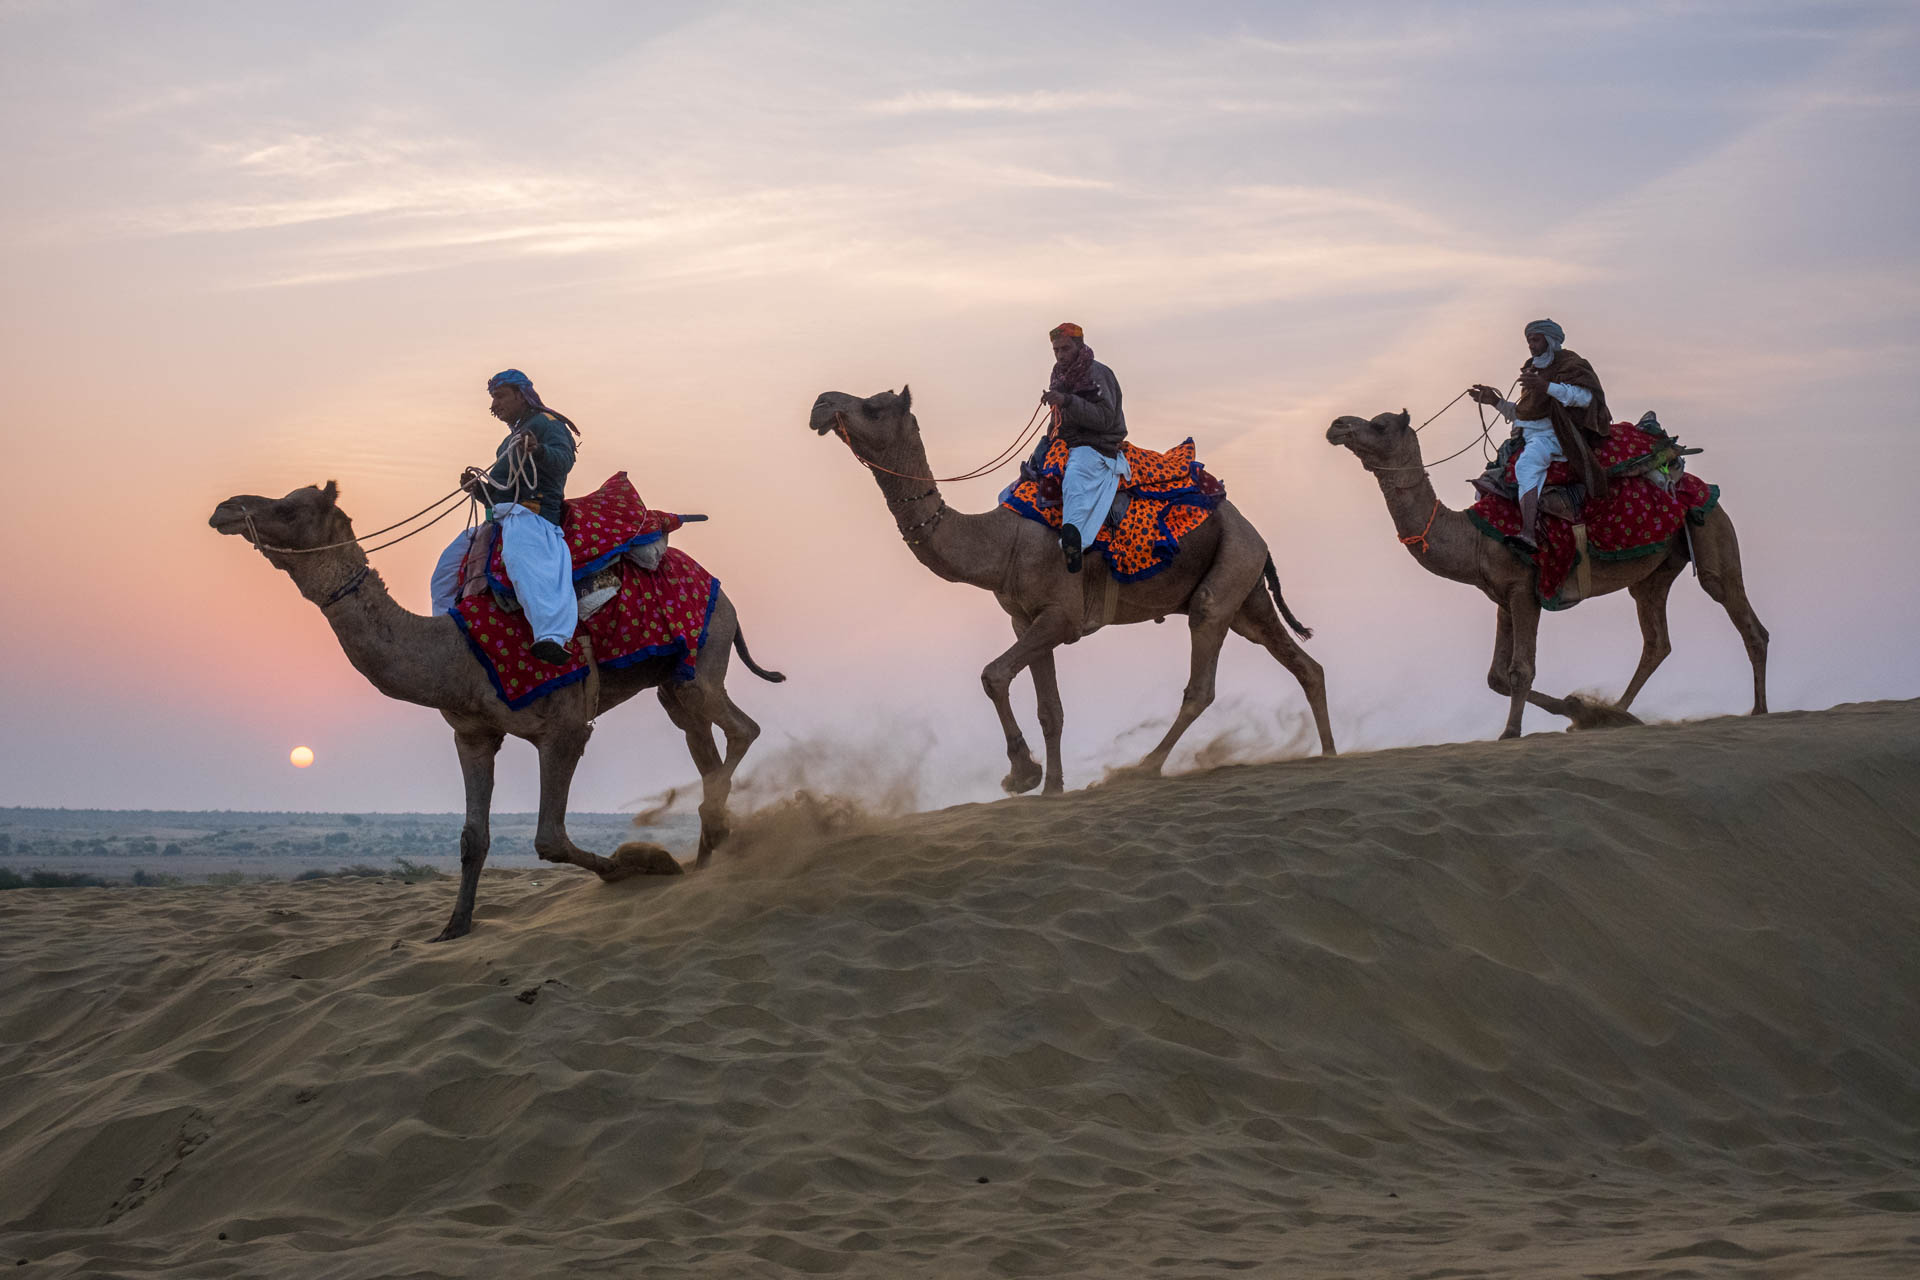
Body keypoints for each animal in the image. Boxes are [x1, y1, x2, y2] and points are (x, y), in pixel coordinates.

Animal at [210, 479, 779, 940]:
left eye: (288, 507)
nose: (225, 508)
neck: (459, 656)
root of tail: (717, 586)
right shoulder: (473, 734)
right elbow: (472, 837)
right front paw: (454, 927)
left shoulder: (565, 728)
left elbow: (549, 838)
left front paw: (641, 865)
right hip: (672, 679)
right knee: (700, 738)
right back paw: (709, 857)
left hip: (704, 653)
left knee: (742, 728)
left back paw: (706, 840)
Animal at [810, 385, 1336, 794]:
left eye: (874, 406)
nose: (820, 403)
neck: (1002, 542)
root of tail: (1258, 537)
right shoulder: (1025, 618)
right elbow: (1051, 709)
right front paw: (1052, 788)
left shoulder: (1060, 616)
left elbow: (992, 675)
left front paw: (1022, 774)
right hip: (1246, 592)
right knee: (1304, 666)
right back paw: (1331, 754)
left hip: (1228, 576)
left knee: (1201, 682)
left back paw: (1141, 768)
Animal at [1328, 410, 1758, 740]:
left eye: (1380, 424)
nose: (1336, 424)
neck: (1476, 537)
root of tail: (1687, 475)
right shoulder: (1502, 598)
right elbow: (1496, 677)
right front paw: (1578, 708)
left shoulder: (1525, 591)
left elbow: (1521, 670)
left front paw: (1510, 732)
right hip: (1654, 573)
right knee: (1657, 642)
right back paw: (1618, 713)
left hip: (1710, 528)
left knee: (1742, 616)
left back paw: (1758, 709)